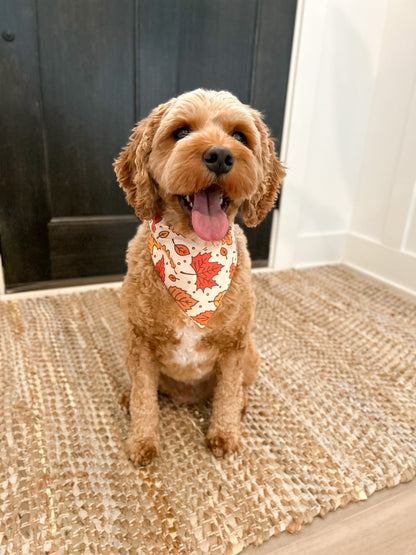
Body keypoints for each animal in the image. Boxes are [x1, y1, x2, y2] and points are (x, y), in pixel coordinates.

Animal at [114, 89, 286, 466]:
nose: (220, 155)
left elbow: (226, 395)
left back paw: (240, 407)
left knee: (236, 391)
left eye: (240, 136)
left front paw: (224, 435)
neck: (193, 251)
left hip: (252, 355)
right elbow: (145, 399)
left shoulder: (235, 345)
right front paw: (142, 441)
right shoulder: (140, 341)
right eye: (180, 132)